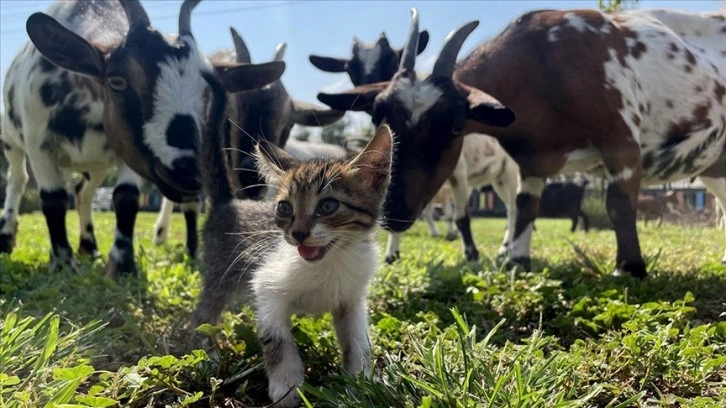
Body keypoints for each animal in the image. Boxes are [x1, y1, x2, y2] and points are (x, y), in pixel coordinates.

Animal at [0, 0, 284, 276]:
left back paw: (89, 248)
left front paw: (122, 265)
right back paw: (7, 236)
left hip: (97, 164)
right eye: (116, 81)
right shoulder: (39, 142)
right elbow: (54, 199)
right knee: (18, 180)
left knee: (84, 192)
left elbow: (126, 198)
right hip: (12, 142)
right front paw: (62, 263)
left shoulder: (130, 152)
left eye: (209, 93)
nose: (189, 171)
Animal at [191, 97, 390, 406]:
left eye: (328, 205)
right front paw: (286, 387)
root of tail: (229, 203)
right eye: (285, 208)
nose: (297, 233)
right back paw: (206, 357)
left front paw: (360, 383)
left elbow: (358, 340)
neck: (330, 262)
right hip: (218, 275)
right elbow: (277, 339)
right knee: (202, 316)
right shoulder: (267, 286)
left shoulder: (352, 298)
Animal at [320, 7, 726, 278]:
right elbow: (525, 206)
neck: (546, 62)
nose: (395, 210)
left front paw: (630, 268)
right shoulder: (532, 162)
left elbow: (619, 204)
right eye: (380, 117)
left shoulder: (620, 141)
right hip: (714, 165)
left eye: (455, 126)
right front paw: (517, 260)